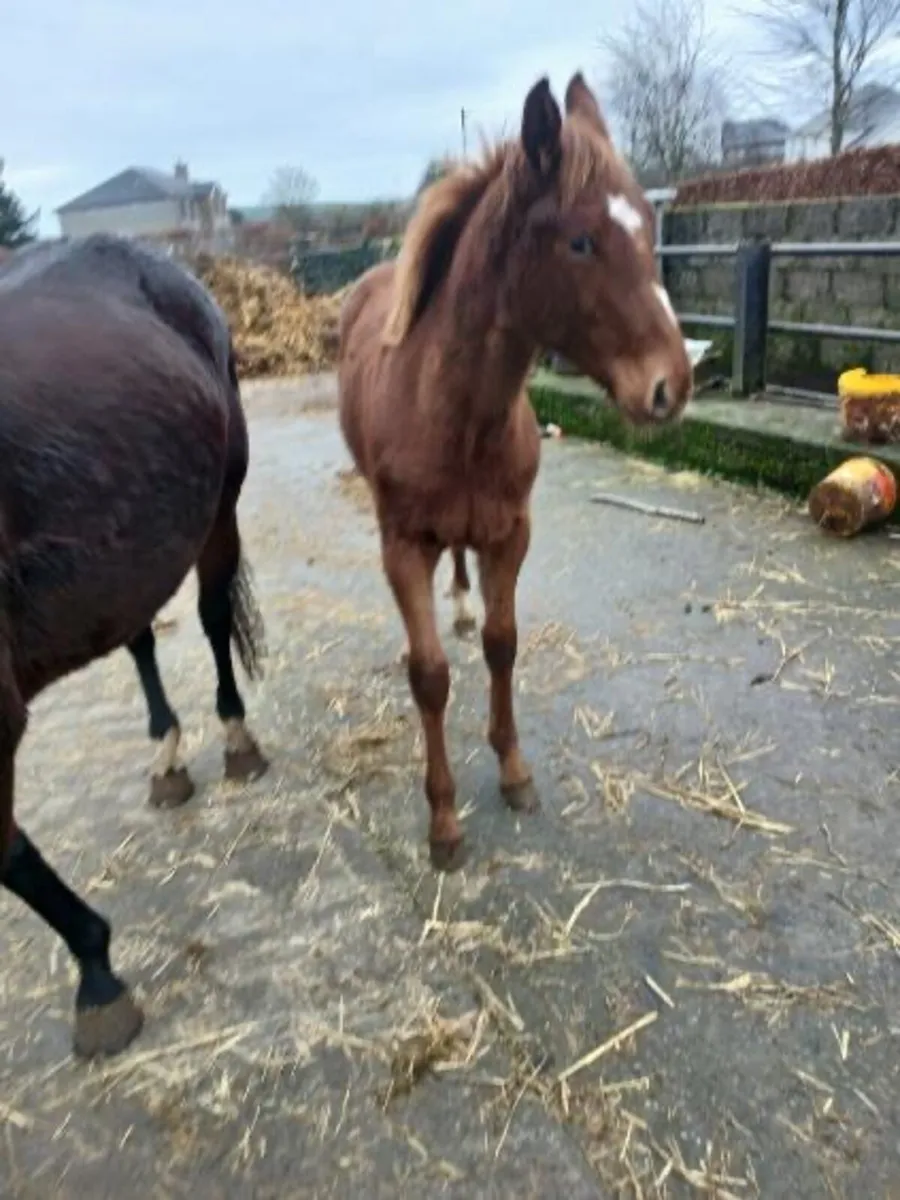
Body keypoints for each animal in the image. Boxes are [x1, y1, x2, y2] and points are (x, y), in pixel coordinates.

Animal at [0, 233, 268, 1057]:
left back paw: (235, 740)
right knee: (139, 635)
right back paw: (168, 756)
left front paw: (98, 979)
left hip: (220, 503)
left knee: (211, 616)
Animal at [337, 72, 692, 871]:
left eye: (651, 233)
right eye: (581, 240)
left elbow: (503, 644)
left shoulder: (511, 532)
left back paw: (464, 606)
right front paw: (443, 822)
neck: (458, 414)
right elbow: (429, 675)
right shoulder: (402, 546)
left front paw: (513, 771)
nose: (672, 386)